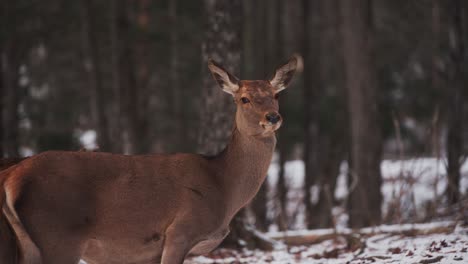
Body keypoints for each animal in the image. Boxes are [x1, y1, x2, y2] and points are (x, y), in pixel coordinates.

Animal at [0, 56, 298, 264]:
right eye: (244, 99)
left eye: (275, 95)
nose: (272, 117)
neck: (222, 187)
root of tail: (11, 178)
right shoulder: (180, 230)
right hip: (57, 235)